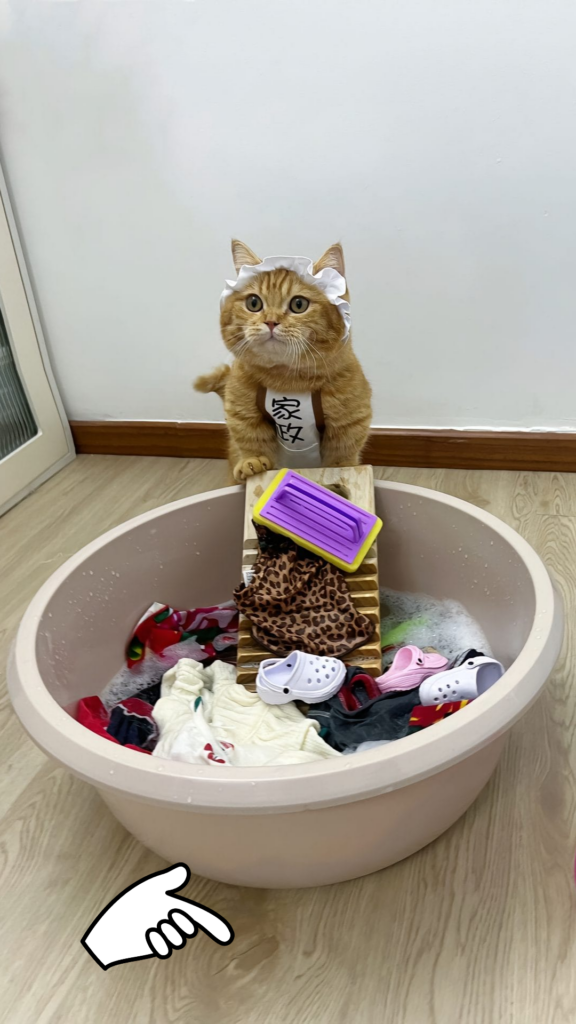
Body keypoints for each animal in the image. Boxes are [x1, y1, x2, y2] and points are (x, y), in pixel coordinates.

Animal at [193, 239, 373, 483]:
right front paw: (252, 461)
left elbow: (341, 454)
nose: (270, 321)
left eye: (299, 304)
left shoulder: (349, 421)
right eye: (253, 303)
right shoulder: (243, 412)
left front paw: (343, 470)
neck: (287, 380)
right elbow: (250, 439)